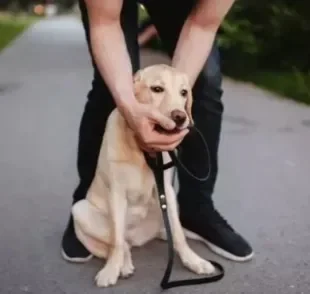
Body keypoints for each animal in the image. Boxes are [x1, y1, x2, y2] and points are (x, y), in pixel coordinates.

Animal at [71, 64, 216, 288]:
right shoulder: (116, 193)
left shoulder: (167, 192)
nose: (180, 117)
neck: (144, 152)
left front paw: (193, 261)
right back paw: (123, 264)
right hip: (80, 210)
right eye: (157, 89)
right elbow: (116, 241)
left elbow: (178, 233)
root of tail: (137, 238)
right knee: (119, 243)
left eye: (184, 92)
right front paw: (111, 270)